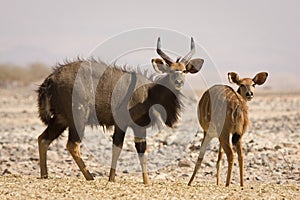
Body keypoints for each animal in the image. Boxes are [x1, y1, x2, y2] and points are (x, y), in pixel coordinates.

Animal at [36, 37, 203, 184]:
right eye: (170, 70)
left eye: (184, 71)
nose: (179, 82)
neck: (149, 92)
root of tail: (51, 79)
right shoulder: (127, 125)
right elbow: (124, 149)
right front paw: (116, 180)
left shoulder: (133, 127)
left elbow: (136, 150)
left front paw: (142, 182)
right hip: (77, 117)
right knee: (72, 145)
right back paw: (90, 177)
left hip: (61, 119)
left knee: (43, 139)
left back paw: (45, 175)